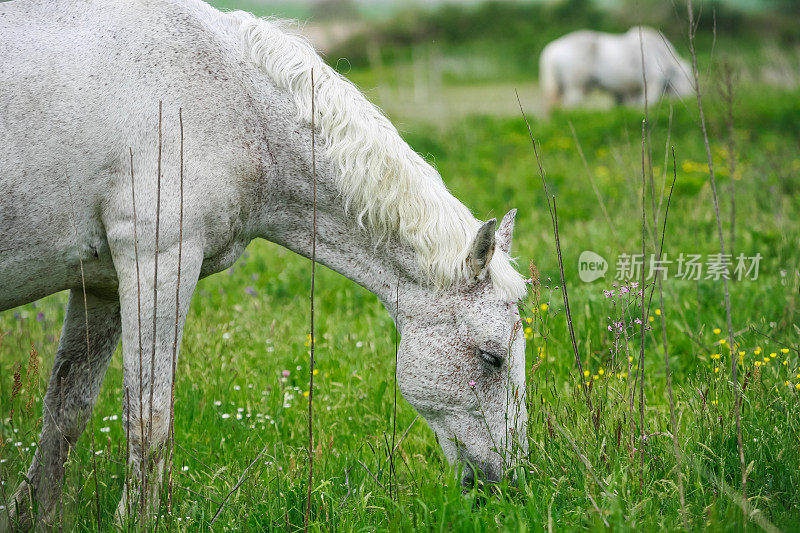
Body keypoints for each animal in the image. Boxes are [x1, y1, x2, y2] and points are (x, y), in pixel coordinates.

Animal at [1, 0, 532, 524]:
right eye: (492, 357)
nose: (508, 486)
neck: (232, 103)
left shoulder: (102, 285)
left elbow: (65, 413)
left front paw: (35, 517)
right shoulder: (157, 262)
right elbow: (148, 422)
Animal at [536, 26, 692, 113]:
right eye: (686, 79)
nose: (689, 98)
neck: (661, 54)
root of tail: (554, 48)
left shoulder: (625, 92)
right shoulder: (652, 83)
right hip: (575, 87)